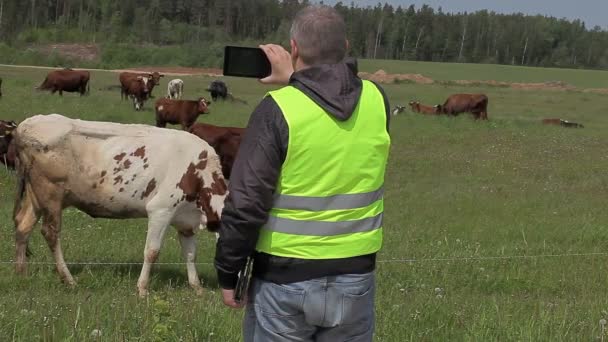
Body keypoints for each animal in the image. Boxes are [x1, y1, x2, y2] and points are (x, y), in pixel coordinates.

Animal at [13, 113, 228, 296]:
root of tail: (26, 125)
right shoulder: (161, 209)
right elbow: (152, 251)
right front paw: (142, 289)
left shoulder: (186, 222)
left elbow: (190, 254)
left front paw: (197, 287)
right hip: (51, 194)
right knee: (50, 233)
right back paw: (69, 279)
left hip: (36, 196)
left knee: (23, 226)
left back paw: (22, 273)